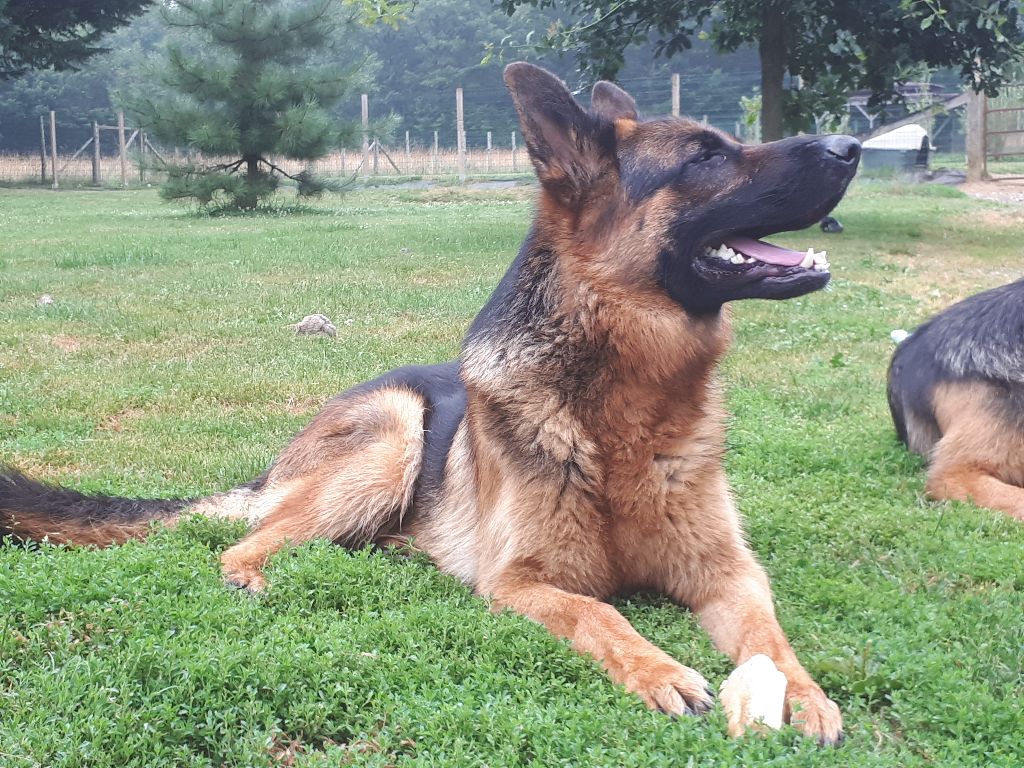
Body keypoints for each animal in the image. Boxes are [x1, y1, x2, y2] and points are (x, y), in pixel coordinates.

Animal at [2, 64, 856, 745]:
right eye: (705, 157)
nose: (849, 146)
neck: (624, 401)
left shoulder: (728, 573)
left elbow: (770, 636)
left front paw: (805, 695)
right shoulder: (521, 583)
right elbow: (602, 613)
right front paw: (661, 670)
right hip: (396, 431)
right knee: (243, 545)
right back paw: (262, 575)